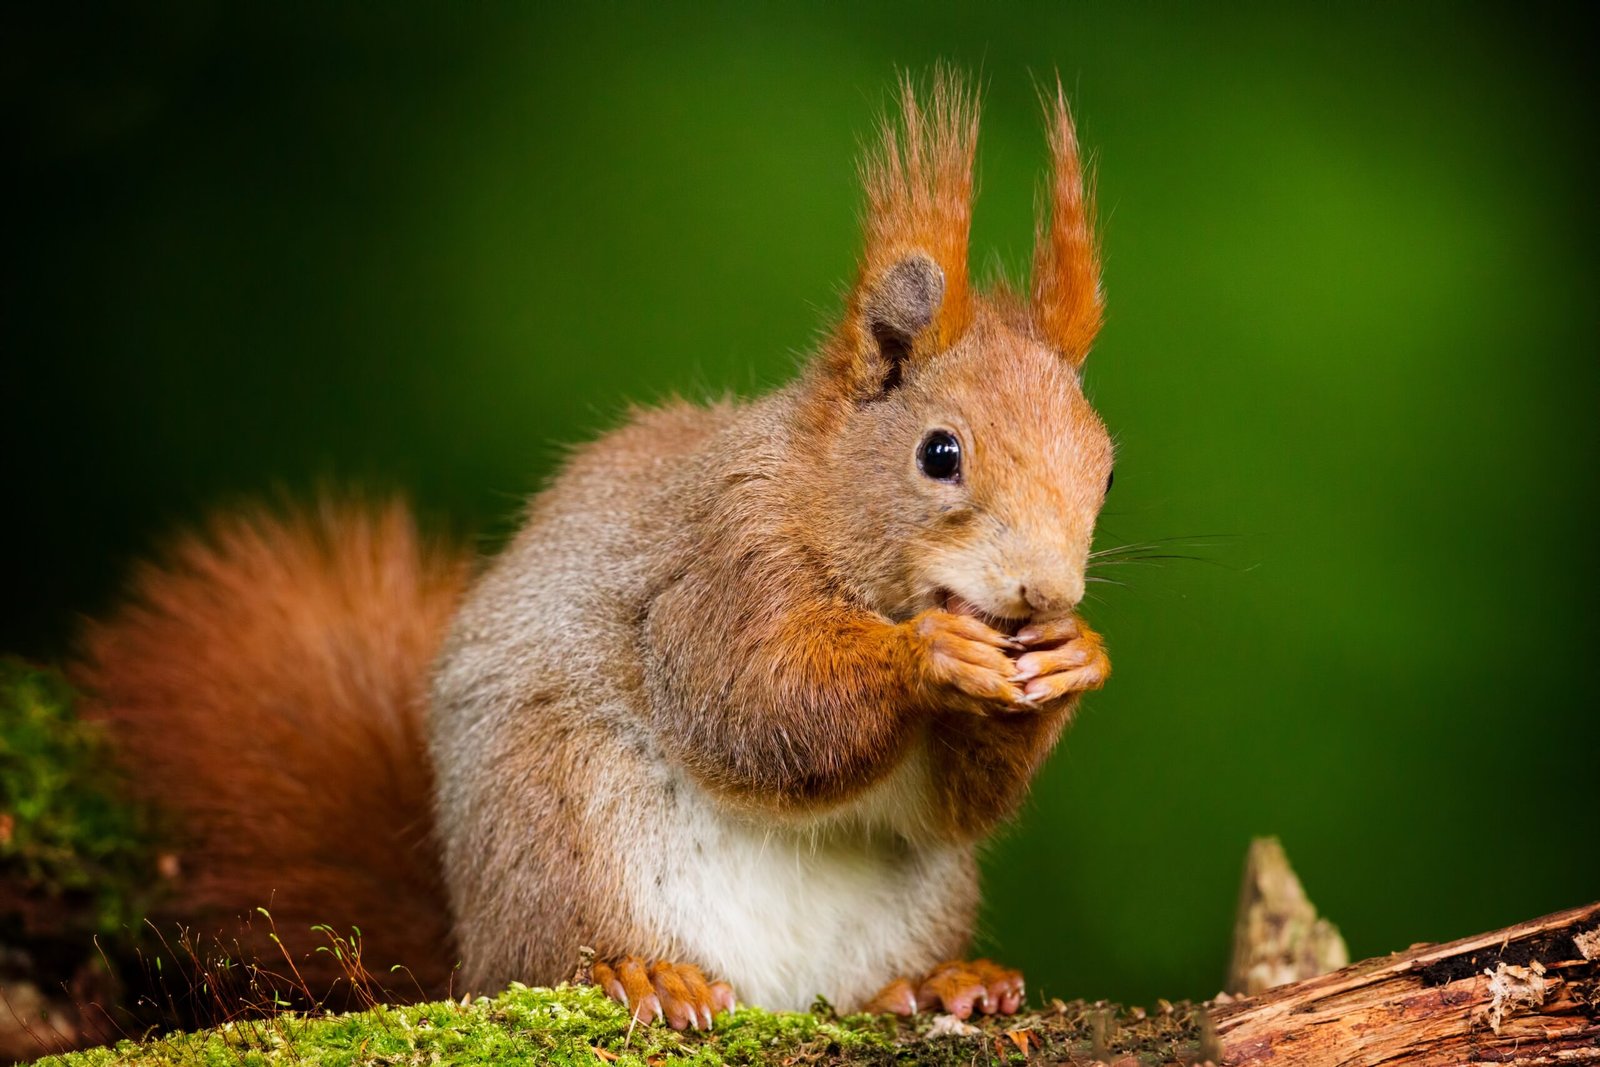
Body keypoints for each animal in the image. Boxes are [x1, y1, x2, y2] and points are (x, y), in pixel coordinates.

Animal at [75, 70, 1113, 1030]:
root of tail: (472, 948)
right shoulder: (722, 559)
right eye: (939, 455)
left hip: (917, 895)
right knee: (563, 953)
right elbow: (753, 697)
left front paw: (1077, 656)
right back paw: (645, 974)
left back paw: (932, 982)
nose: (1043, 592)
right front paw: (930, 653)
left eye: (1106, 470)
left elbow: (959, 801)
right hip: (567, 829)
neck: (821, 494)